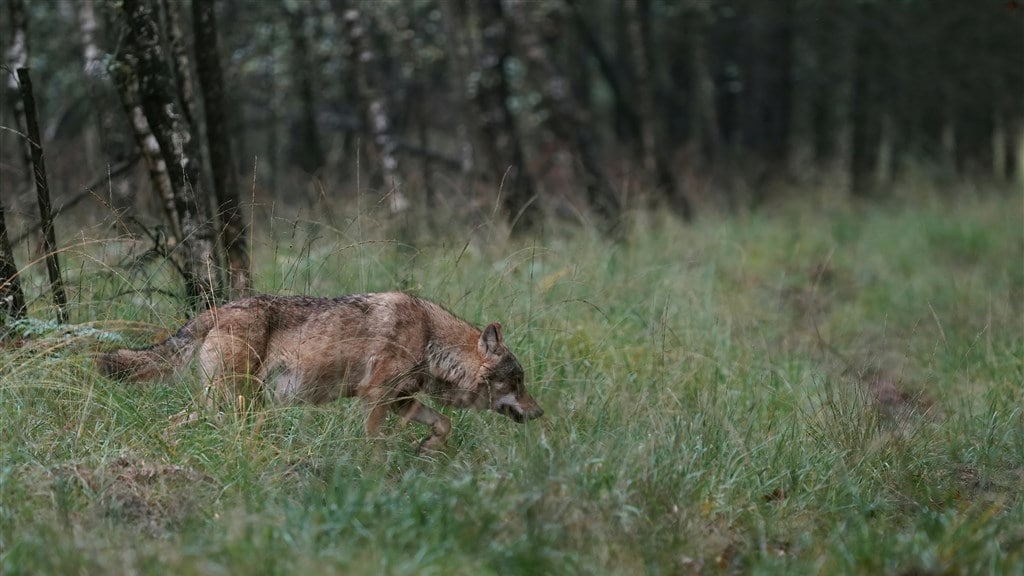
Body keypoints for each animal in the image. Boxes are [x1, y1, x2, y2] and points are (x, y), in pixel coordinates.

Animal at [98, 292, 543, 452]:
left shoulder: (402, 401)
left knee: (172, 423)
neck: (430, 340)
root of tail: (216, 309)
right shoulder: (375, 399)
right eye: (518, 381)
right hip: (235, 404)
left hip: (227, 405)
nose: (540, 413)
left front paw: (428, 449)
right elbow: (374, 443)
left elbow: (444, 423)